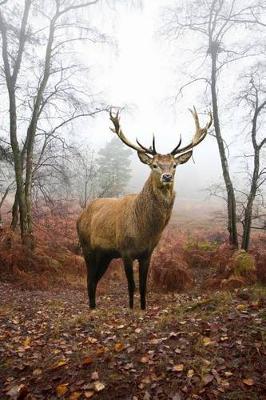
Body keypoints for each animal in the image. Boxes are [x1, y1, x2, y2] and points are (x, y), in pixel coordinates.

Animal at [76, 108, 212, 310]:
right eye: (154, 165)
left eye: (174, 165)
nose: (167, 176)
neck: (144, 230)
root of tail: (80, 216)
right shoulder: (125, 251)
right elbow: (131, 286)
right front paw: (131, 309)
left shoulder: (147, 253)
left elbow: (143, 286)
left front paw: (143, 308)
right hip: (87, 248)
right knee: (89, 279)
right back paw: (92, 309)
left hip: (106, 255)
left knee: (94, 280)